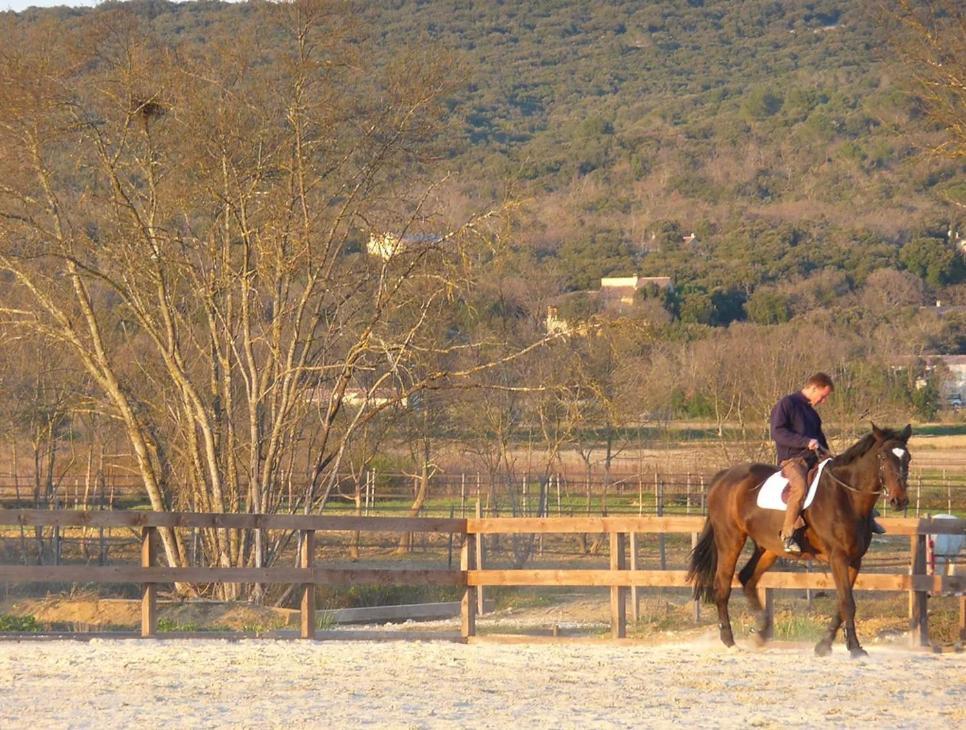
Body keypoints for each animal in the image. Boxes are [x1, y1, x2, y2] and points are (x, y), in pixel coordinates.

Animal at [692, 420, 912, 656]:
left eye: (907, 457)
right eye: (882, 457)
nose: (899, 500)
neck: (846, 496)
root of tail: (723, 477)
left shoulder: (854, 560)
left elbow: (841, 604)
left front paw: (824, 645)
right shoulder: (838, 558)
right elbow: (847, 603)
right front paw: (854, 648)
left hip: (769, 548)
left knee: (747, 578)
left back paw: (762, 632)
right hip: (730, 540)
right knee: (723, 586)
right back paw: (729, 640)